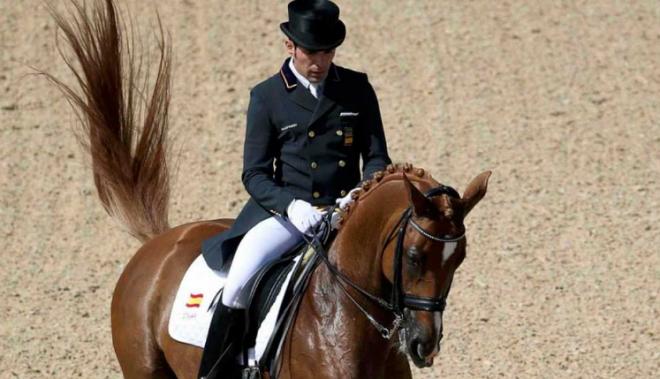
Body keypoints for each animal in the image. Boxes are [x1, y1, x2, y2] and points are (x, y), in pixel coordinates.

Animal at [46, 1, 490, 378]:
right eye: (414, 257)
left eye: (459, 259)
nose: (424, 346)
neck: (345, 315)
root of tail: (158, 242)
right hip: (144, 369)